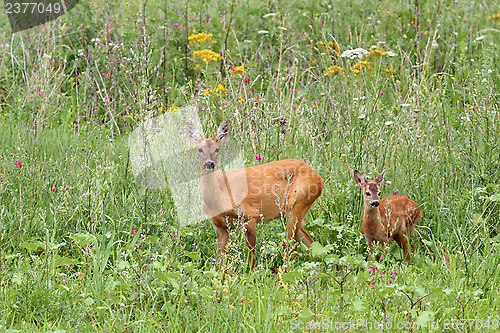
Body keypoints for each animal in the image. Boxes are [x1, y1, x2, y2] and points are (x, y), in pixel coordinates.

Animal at [186, 120, 322, 268]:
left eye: (217, 149)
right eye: (199, 149)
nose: (209, 164)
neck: (219, 197)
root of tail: (319, 178)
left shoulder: (250, 216)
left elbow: (251, 258)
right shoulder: (220, 227)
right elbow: (219, 262)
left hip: (296, 204)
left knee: (293, 247)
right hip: (289, 213)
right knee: (311, 243)